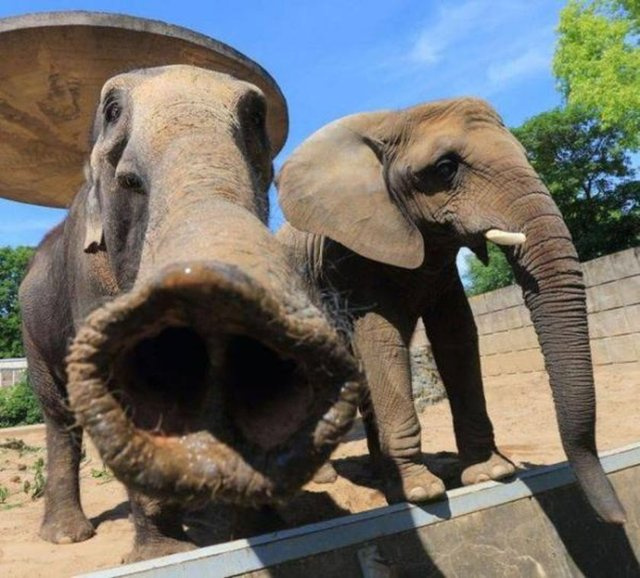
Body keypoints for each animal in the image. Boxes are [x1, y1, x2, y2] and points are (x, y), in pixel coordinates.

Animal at [276, 95, 624, 520]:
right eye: (445, 168)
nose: (619, 517)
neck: (390, 121)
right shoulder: (349, 256)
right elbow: (382, 341)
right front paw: (422, 493)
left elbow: (456, 333)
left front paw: (490, 473)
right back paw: (329, 478)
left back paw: (380, 478)